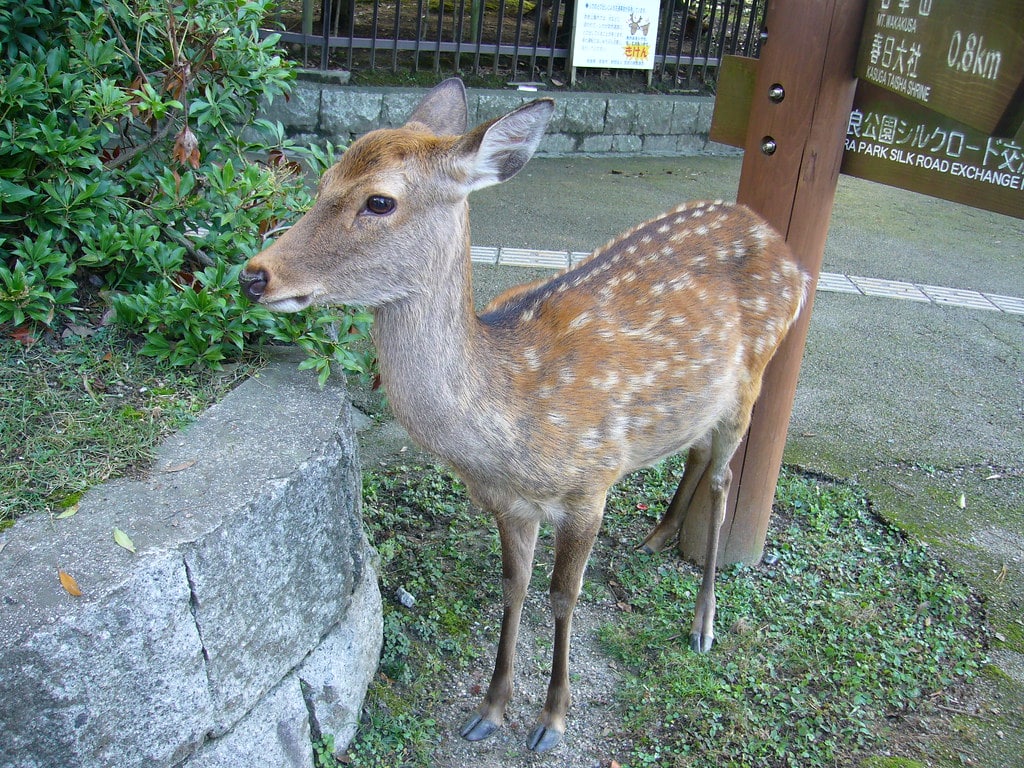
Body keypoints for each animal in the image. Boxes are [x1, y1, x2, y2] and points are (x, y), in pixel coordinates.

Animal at [239, 78, 809, 753]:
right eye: (323, 180)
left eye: (379, 201)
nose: (254, 275)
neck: (510, 431)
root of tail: (788, 253)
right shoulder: (507, 504)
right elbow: (514, 586)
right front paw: (490, 709)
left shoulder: (591, 483)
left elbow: (563, 596)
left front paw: (552, 719)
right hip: (699, 400)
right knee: (694, 448)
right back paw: (657, 537)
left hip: (755, 377)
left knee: (724, 478)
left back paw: (703, 623)